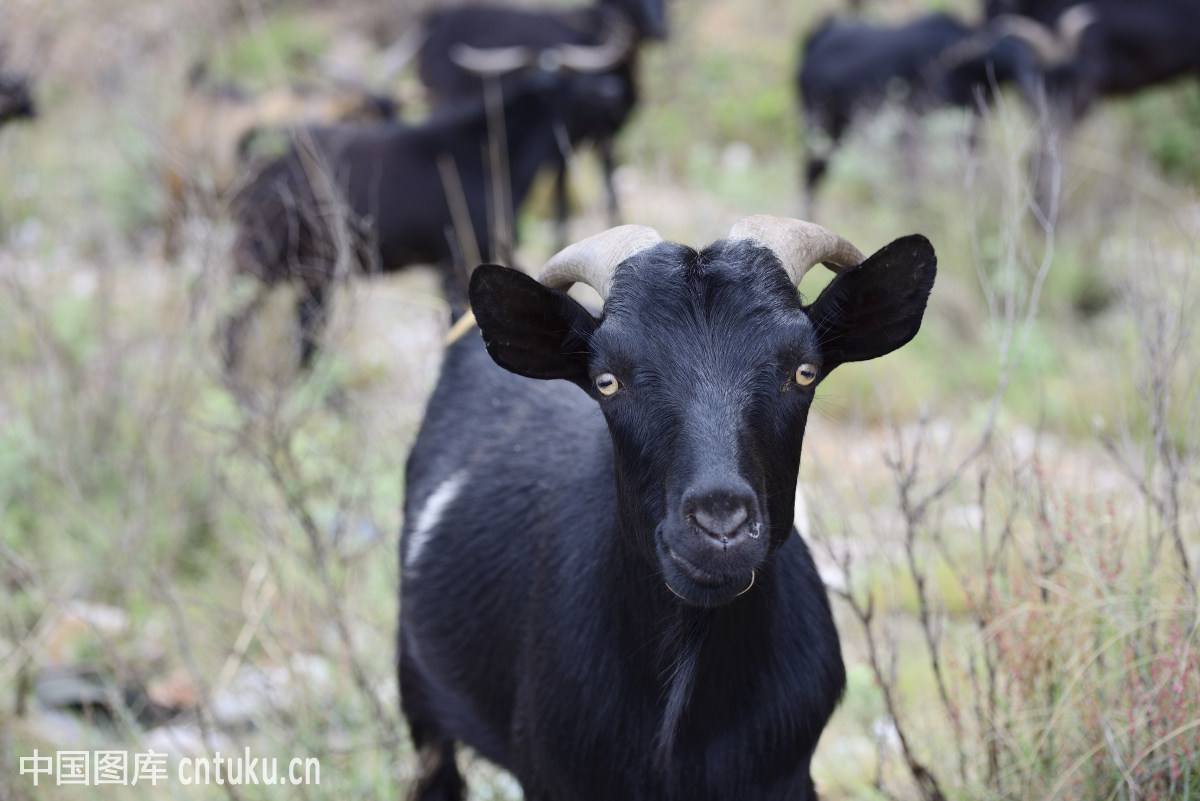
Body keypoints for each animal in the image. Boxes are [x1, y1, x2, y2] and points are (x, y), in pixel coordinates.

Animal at [801, 12, 1056, 205]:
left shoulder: (970, 123)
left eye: (1031, 60)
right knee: (811, 175)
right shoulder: (914, 121)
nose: (1031, 89)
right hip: (821, 125)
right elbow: (915, 172)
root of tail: (816, 38)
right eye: (1003, 58)